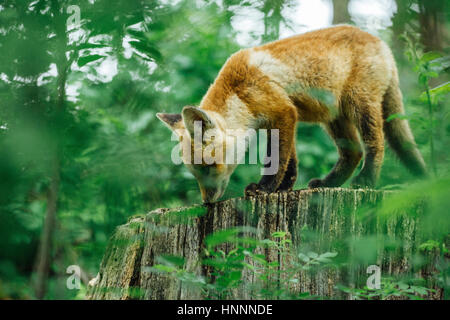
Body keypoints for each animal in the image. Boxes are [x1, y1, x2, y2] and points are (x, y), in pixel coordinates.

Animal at [157, 26, 426, 204]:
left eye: (208, 167)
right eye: (196, 173)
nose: (207, 202)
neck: (238, 94)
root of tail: (381, 43)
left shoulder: (284, 112)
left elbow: (276, 159)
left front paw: (264, 188)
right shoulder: (279, 121)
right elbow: (290, 162)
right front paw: (283, 188)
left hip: (359, 104)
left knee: (375, 144)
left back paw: (366, 179)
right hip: (333, 118)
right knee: (354, 152)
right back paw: (328, 183)